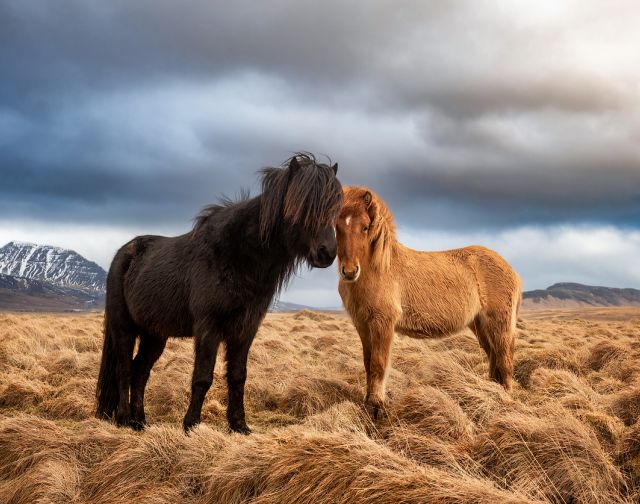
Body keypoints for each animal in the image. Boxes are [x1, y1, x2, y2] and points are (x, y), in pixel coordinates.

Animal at [95, 155, 342, 434]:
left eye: (335, 206)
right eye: (301, 205)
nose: (327, 252)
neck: (236, 257)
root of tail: (124, 253)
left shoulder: (245, 329)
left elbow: (238, 376)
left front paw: (239, 425)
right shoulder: (209, 327)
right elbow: (202, 377)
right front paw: (191, 425)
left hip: (155, 334)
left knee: (140, 371)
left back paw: (140, 422)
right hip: (124, 329)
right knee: (124, 370)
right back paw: (124, 419)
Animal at [338, 188, 524, 418]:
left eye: (365, 227)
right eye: (337, 226)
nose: (349, 272)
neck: (379, 268)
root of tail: (510, 269)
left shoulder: (383, 323)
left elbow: (378, 364)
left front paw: (377, 408)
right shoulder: (362, 325)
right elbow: (367, 363)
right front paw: (368, 404)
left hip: (499, 324)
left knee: (504, 359)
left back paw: (505, 401)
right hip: (479, 325)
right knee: (494, 356)